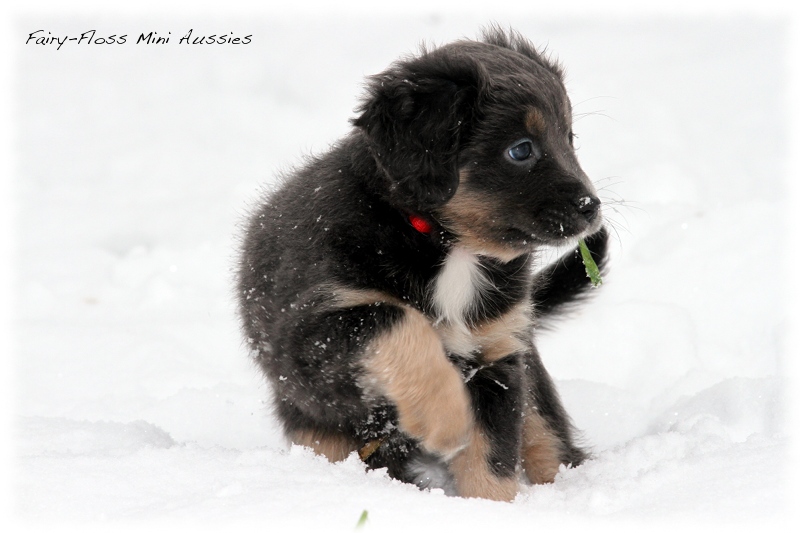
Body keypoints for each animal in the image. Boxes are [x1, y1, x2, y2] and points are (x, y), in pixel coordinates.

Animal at [236, 27, 608, 500]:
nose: (591, 207)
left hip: (531, 385)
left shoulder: (497, 356)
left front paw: (491, 507)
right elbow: (397, 321)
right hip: (317, 424)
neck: (447, 245)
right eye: (521, 150)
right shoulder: (311, 333)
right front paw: (446, 420)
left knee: (548, 441)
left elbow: (492, 462)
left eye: (570, 137)